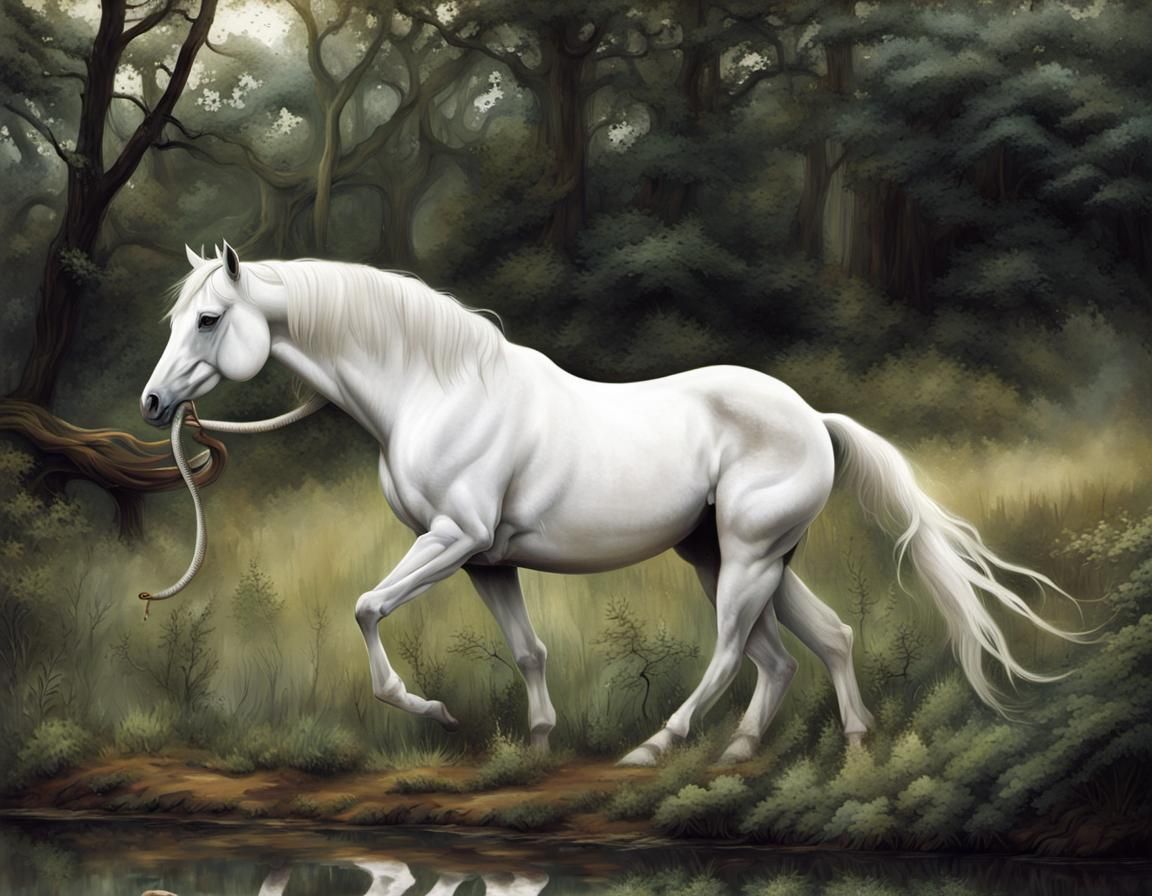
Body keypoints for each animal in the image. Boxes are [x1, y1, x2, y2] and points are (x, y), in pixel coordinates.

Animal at [141, 242, 1077, 766]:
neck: (435, 390)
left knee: (735, 655)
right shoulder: (486, 560)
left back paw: (657, 746)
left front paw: (432, 711)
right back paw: (821, 748)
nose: (153, 404)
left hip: (744, 560)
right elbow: (529, 652)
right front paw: (536, 743)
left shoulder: (453, 538)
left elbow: (368, 607)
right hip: (742, 559)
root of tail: (813, 418)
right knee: (814, 646)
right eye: (177, 317)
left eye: (211, 319)